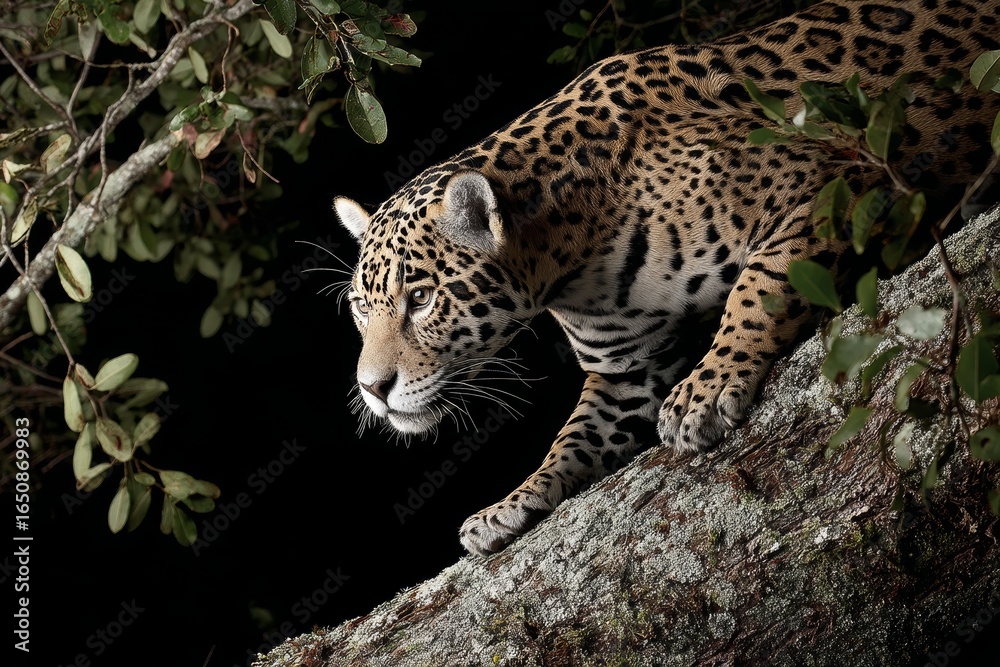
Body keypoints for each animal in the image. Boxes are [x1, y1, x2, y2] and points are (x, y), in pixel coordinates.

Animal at [334, 0, 1000, 556]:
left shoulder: (826, 185)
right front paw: (509, 505)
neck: (573, 257)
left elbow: (756, 288)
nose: (372, 389)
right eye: (362, 310)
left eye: (422, 299)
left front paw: (705, 390)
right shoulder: (625, 371)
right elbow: (571, 438)